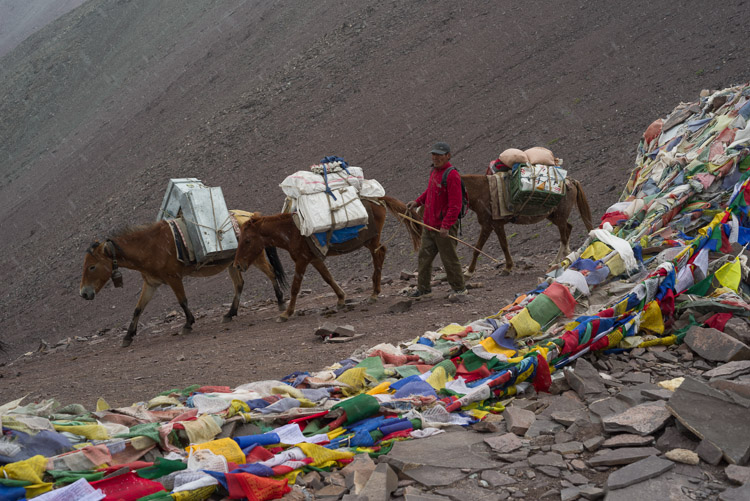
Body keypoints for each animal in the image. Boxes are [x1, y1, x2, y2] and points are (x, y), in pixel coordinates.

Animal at [78, 221, 284, 346]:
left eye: (92, 267)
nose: (84, 293)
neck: (149, 247)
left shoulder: (174, 278)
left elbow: (182, 301)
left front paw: (188, 324)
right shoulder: (151, 284)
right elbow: (138, 309)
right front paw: (128, 336)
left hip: (255, 258)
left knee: (272, 273)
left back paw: (281, 302)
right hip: (234, 264)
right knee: (239, 284)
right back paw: (230, 314)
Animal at [235, 195, 424, 320]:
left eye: (247, 240)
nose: (237, 265)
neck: (290, 230)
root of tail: (378, 198)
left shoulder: (301, 260)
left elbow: (295, 287)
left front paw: (287, 313)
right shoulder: (314, 259)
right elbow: (328, 278)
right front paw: (340, 299)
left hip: (371, 240)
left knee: (380, 254)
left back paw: (374, 293)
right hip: (369, 241)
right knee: (380, 252)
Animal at [462, 173, 596, 274]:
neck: (483, 192)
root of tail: (570, 181)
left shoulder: (492, 225)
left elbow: (484, 247)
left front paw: (469, 272)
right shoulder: (492, 226)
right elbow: (491, 246)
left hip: (560, 216)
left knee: (563, 237)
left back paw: (555, 261)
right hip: (554, 217)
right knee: (568, 228)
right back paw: (567, 253)